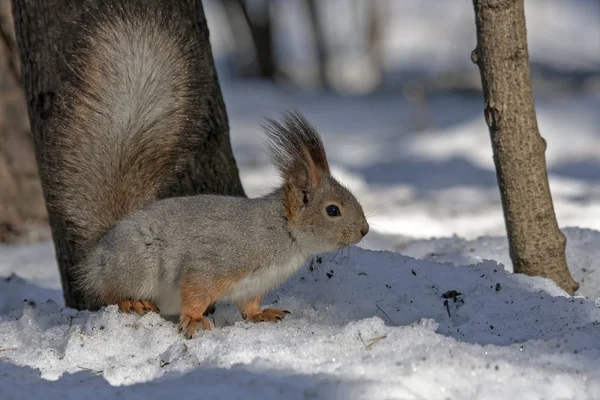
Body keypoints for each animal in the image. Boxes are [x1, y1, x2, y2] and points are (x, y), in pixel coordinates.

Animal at [48, 0, 366, 338]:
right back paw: (131, 301)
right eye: (332, 210)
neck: (283, 232)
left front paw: (262, 315)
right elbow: (195, 290)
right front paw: (194, 320)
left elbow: (249, 306)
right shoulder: (214, 262)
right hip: (137, 265)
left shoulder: (253, 285)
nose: (365, 230)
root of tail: (103, 244)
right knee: (109, 291)